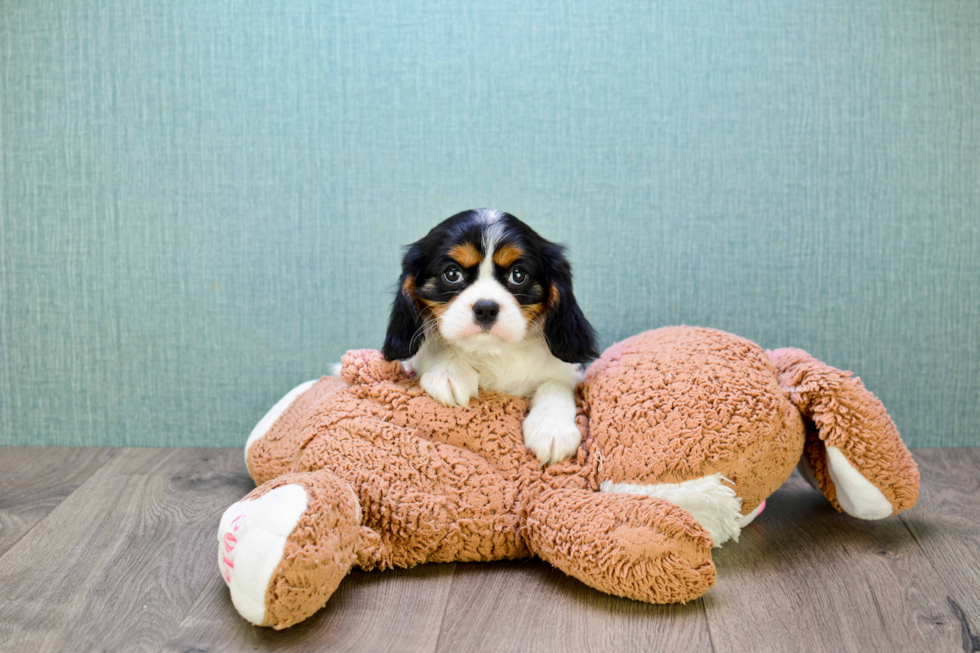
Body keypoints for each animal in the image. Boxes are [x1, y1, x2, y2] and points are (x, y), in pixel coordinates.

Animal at [380, 209, 596, 464]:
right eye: (452, 274)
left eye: (518, 275)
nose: (485, 308)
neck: (493, 352)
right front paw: (449, 372)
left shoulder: (567, 372)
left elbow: (556, 384)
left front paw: (552, 429)